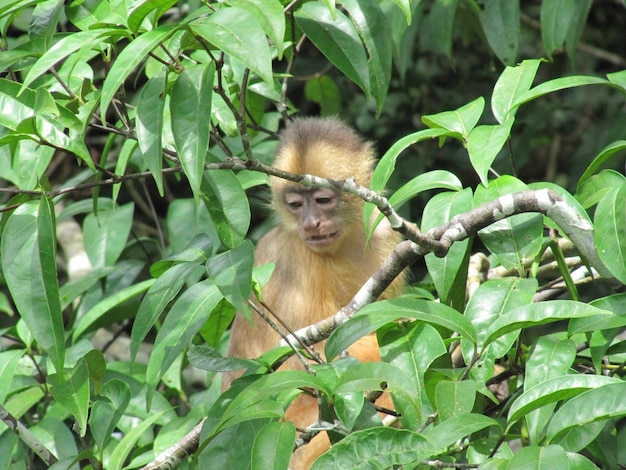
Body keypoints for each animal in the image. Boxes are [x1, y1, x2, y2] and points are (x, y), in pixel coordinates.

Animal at [224, 116, 404, 466]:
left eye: (322, 200)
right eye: (295, 204)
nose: (310, 223)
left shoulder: (381, 231)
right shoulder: (297, 260)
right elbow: (312, 361)